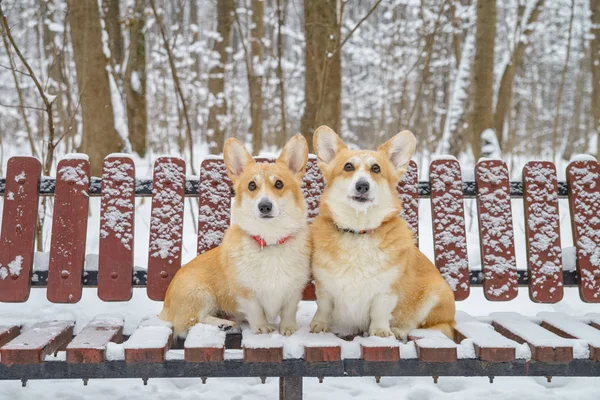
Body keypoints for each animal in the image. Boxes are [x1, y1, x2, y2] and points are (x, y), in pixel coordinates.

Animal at [161, 134, 310, 338]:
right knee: (191, 321)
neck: (270, 240)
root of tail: (165, 309)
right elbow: (256, 311)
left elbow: (288, 310)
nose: (264, 206)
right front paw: (262, 327)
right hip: (200, 293)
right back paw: (222, 323)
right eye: (252, 185)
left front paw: (288, 328)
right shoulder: (245, 291)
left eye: (279, 184)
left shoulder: (293, 289)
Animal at [310, 126, 454, 340]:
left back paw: (399, 330)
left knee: (428, 326)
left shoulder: (387, 290)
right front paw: (319, 325)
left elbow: (379, 312)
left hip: (435, 296)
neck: (358, 231)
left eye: (376, 169)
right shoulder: (325, 287)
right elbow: (324, 308)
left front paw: (380, 332)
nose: (362, 185)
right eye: (348, 167)